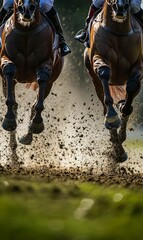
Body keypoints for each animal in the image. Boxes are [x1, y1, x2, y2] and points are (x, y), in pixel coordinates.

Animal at [0, 0, 63, 144]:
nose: (27, 10)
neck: (26, 31)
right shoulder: (5, 59)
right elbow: (9, 69)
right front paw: (9, 120)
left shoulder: (46, 64)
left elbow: (43, 78)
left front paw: (36, 124)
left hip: (51, 81)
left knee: (36, 102)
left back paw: (27, 136)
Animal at [84, 0, 142, 162]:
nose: (120, 7)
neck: (119, 30)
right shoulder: (99, 57)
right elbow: (104, 72)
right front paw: (111, 118)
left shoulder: (139, 64)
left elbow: (132, 86)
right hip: (94, 79)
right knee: (104, 100)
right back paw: (117, 147)